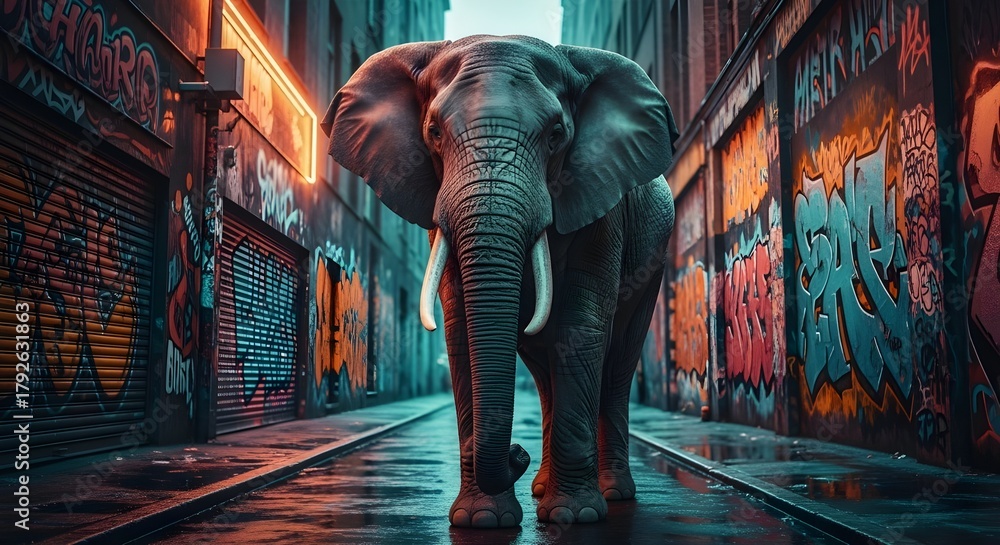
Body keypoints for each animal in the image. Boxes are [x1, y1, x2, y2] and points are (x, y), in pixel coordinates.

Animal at [321, 35, 678, 528]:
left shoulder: (602, 203)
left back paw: (612, 493)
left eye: (556, 134)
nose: (516, 453)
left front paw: (575, 516)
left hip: (652, 263)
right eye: (433, 132)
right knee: (544, 373)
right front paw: (482, 521)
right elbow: (461, 333)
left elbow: (580, 327)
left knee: (618, 361)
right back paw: (544, 486)